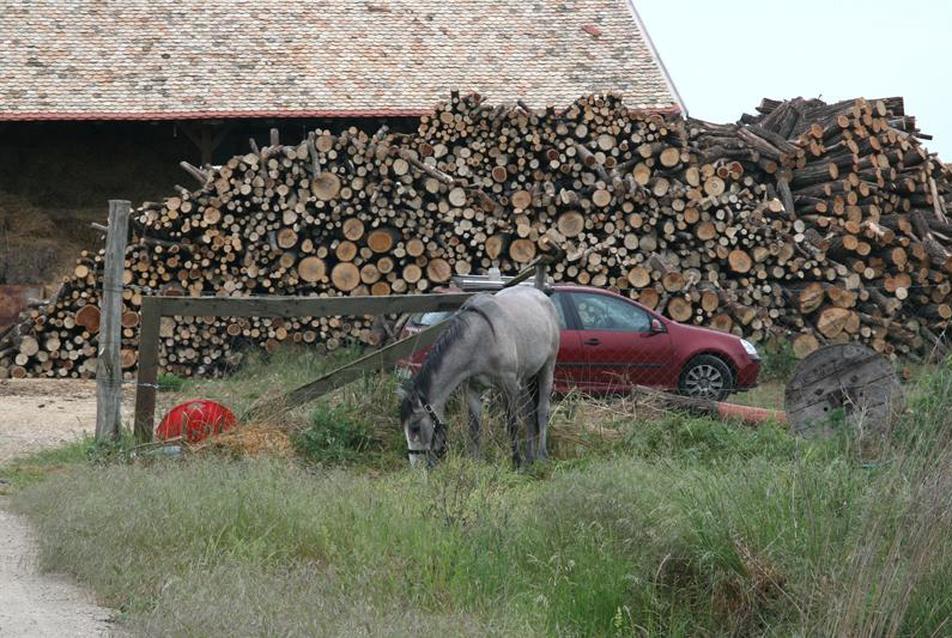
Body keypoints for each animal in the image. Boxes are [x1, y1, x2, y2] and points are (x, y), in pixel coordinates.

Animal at [398, 288, 560, 468]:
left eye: (415, 427)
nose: (416, 468)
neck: (481, 337)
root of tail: (542, 295)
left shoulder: (509, 386)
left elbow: (512, 424)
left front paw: (517, 463)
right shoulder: (472, 389)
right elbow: (474, 427)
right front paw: (476, 462)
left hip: (547, 367)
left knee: (542, 410)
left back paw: (541, 456)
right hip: (524, 379)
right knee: (530, 412)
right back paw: (530, 457)